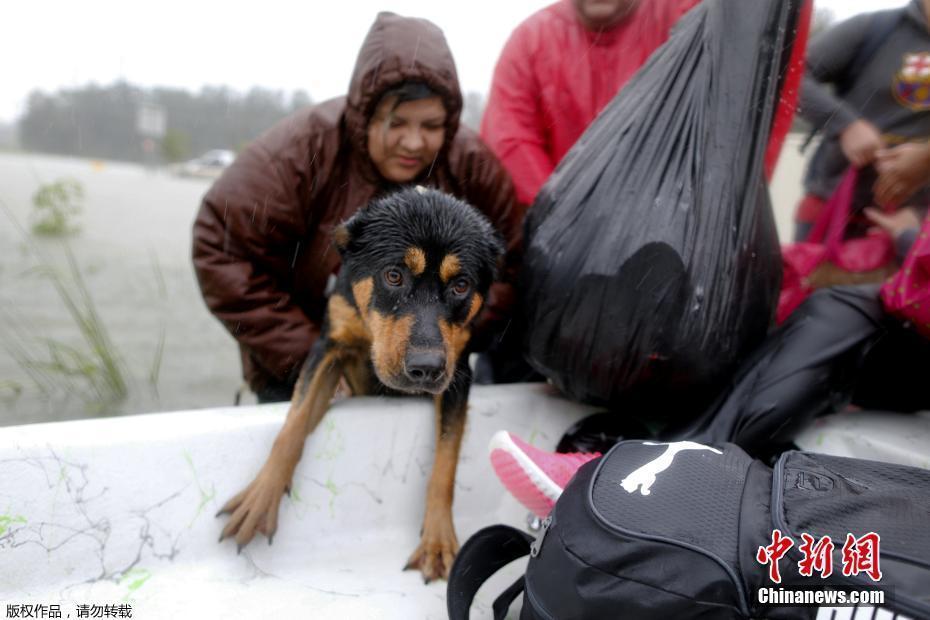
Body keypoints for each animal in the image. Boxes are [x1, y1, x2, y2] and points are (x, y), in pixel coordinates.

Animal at [216, 188, 500, 580]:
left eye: (461, 286)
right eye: (393, 276)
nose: (426, 369)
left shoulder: (457, 374)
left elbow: (447, 460)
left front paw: (438, 541)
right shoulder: (329, 349)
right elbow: (293, 425)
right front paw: (261, 498)